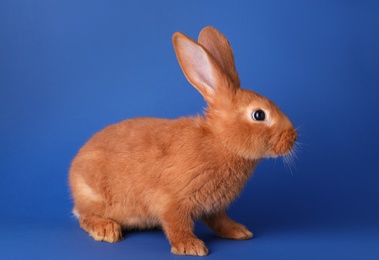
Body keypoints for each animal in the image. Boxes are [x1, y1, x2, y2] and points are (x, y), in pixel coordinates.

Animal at [70, 26, 298, 256]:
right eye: (259, 115)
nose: (293, 137)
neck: (220, 142)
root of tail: (74, 169)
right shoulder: (172, 201)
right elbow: (177, 224)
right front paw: (191, 247)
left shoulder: (215, 207)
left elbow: (219, 221)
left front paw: (238, 231)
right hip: (95, 196)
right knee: (84, 215)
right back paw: (106, 230)